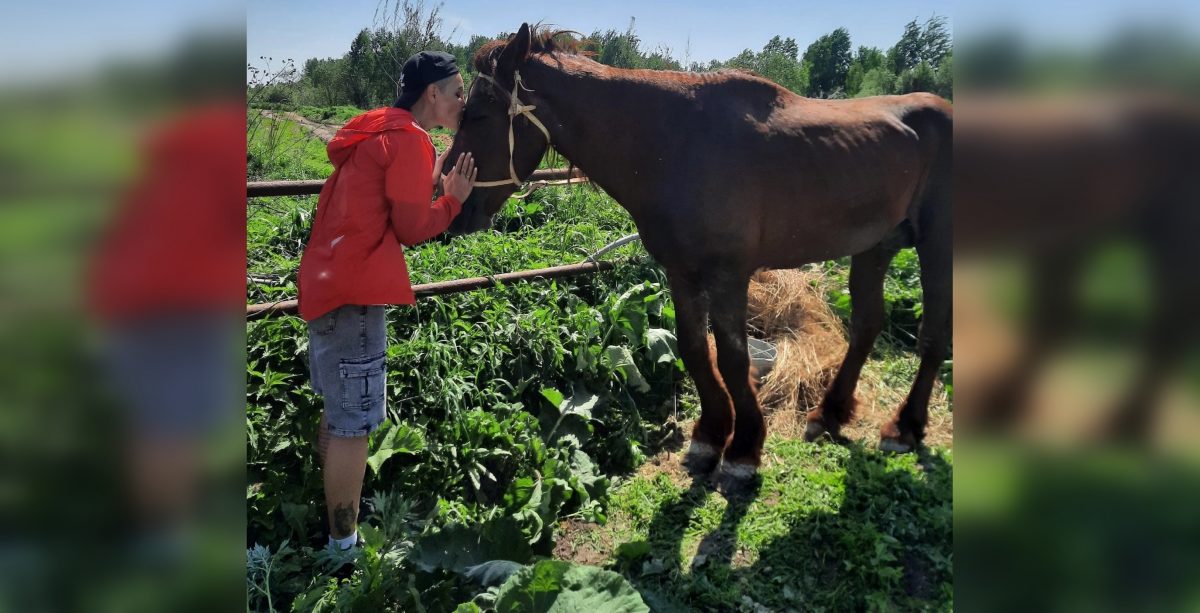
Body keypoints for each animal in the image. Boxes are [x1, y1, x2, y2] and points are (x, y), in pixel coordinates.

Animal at [446, 23, 950, 487]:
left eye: (477, 114)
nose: (452, 202)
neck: (675, 144)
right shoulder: (682, 273)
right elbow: (694, 348)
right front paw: (711, 434)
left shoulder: (729, 276)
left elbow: (732, 358)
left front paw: (744, 447)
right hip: (875, 246)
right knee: (867, 326)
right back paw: (830, 413)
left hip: (937, 248)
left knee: (932, 336)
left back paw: (905, 427)